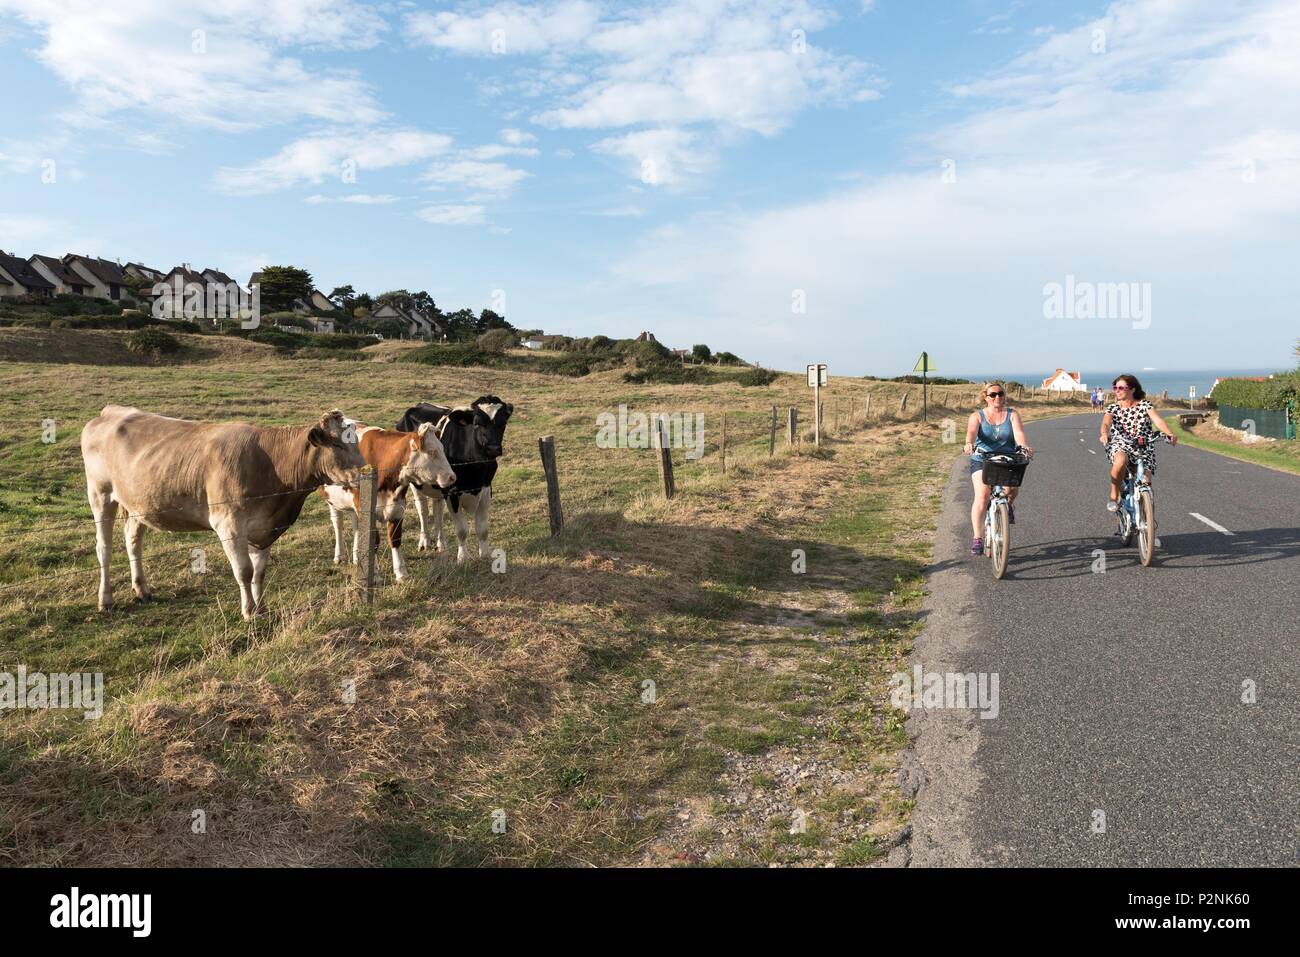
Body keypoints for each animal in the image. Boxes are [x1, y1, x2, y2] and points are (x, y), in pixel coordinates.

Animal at [79, 405, 366, 621]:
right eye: (339, 445)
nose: (366, 471)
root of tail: (110, 411)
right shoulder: (229, 524)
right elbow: (244, 570)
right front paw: (249, 611)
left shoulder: (264, 526)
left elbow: (259, 572)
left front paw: (261, 608)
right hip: (100, 495)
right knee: (104, 548)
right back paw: (106, 600)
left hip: (137, 503)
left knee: (133, 540)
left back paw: (142, 590)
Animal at [317, 421, 454, 582]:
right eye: (432, 452)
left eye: (442, 449)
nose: (452, 477)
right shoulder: (366, 509)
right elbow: (373, 541)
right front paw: (374, 575)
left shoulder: (397, 507)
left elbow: (395, 539)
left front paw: (401, 574)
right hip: (332, 499)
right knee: (337, 523)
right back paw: (340, 556)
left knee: (355, 525)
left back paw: (357, 557)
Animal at [395, 395, 512, 561]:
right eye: (476, 423)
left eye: (503, 423)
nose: (493, 449)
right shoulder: (452, 492)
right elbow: (461, 529)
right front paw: (462, 558)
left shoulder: (486, 489)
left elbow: (482, 528)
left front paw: (484, 555)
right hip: (415, 482)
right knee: (422, 509)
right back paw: (425, 542)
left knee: (438, 510)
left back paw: (441, 543)